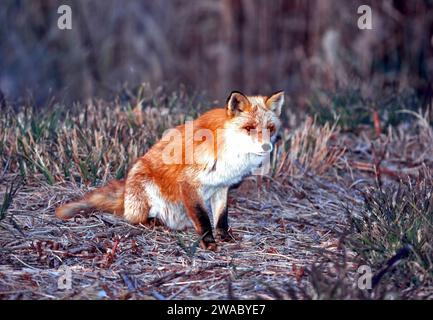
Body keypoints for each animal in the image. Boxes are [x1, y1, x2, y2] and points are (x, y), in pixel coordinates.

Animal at [55, 90, 284, 250]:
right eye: (249, 128)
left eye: (270, 128)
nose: (267, 147)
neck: (229, 151)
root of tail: (125, 193)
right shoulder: (190, 182)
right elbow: (203, 218)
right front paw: (208, 241)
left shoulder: (221, 185)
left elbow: (221, 217)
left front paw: (225, 237)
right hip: (146, 189)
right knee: (134, 218)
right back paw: (154, 222)